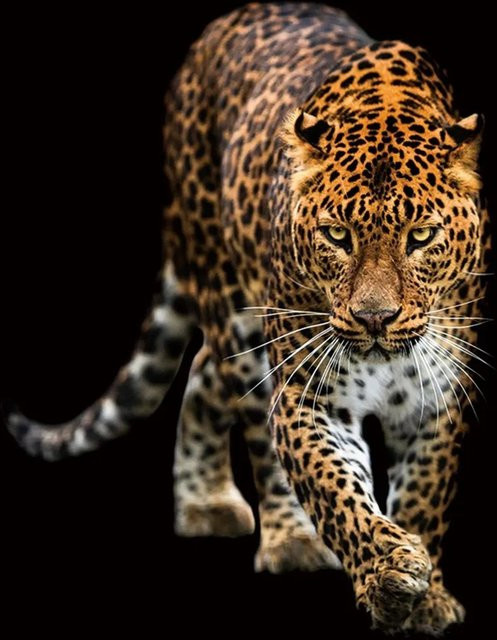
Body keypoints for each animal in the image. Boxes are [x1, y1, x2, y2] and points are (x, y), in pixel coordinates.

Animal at [6, 3, 493, 635]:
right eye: (337, 235)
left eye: (422, 237)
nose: (375, 319)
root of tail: (230, 19)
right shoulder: (308, 395)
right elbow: (334, 488)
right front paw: (388, 572)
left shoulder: (437, 398)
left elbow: (425, 495)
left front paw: (427, 595)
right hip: (236, 308)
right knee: (251, 422)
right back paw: (288, 539)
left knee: (203, 371)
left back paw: (205, 503)